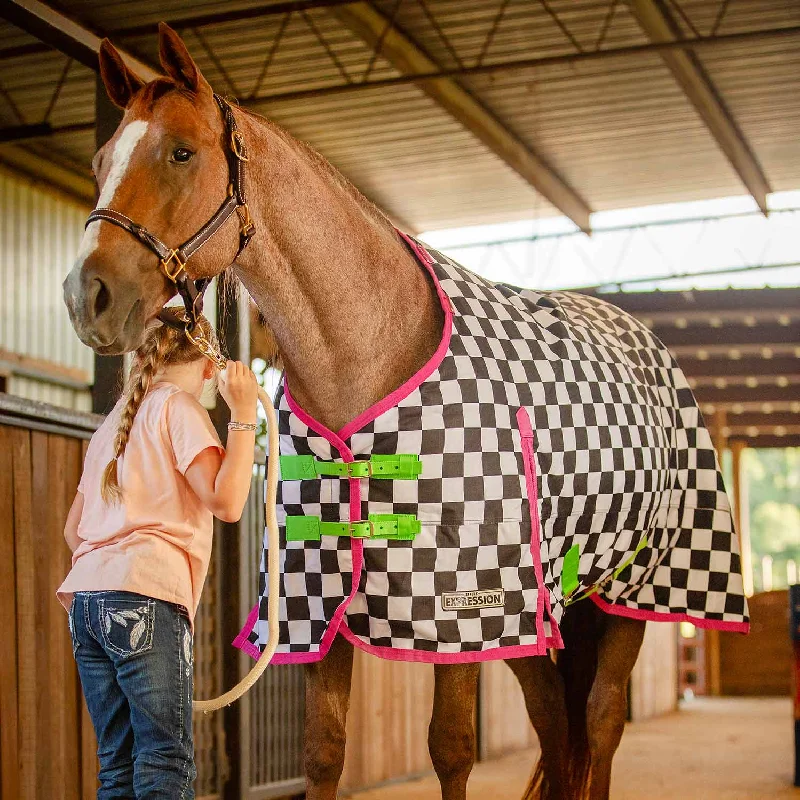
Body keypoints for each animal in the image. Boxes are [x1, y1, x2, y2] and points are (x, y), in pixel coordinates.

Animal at [64, 25, 752, 800]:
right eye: (100, 161)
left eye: (181, 151)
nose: (86, 295)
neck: (374, 349)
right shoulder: (315, 602)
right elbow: (323, 751)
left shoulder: (458, 614)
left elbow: (451, 747)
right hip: (540, 610)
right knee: (556, 720)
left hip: (636, 591)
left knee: (600, 726)